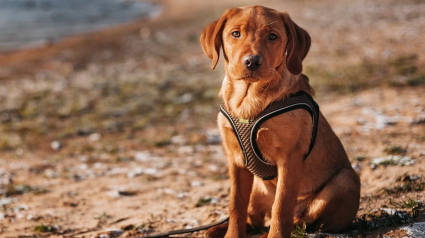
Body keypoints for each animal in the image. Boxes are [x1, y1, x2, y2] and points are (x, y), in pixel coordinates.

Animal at [200, 5, 360, 238]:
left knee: (300, 220)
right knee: (254, 217)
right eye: (235, 33)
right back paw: (218, 229)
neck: (248, 99)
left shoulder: (289, 157)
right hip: (257, 189)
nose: (252, 61)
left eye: (272, 36)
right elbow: (236, 203)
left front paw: (275, 234)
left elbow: (281, 205)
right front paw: (232, 234)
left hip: (345, 180)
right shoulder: (235, 159)